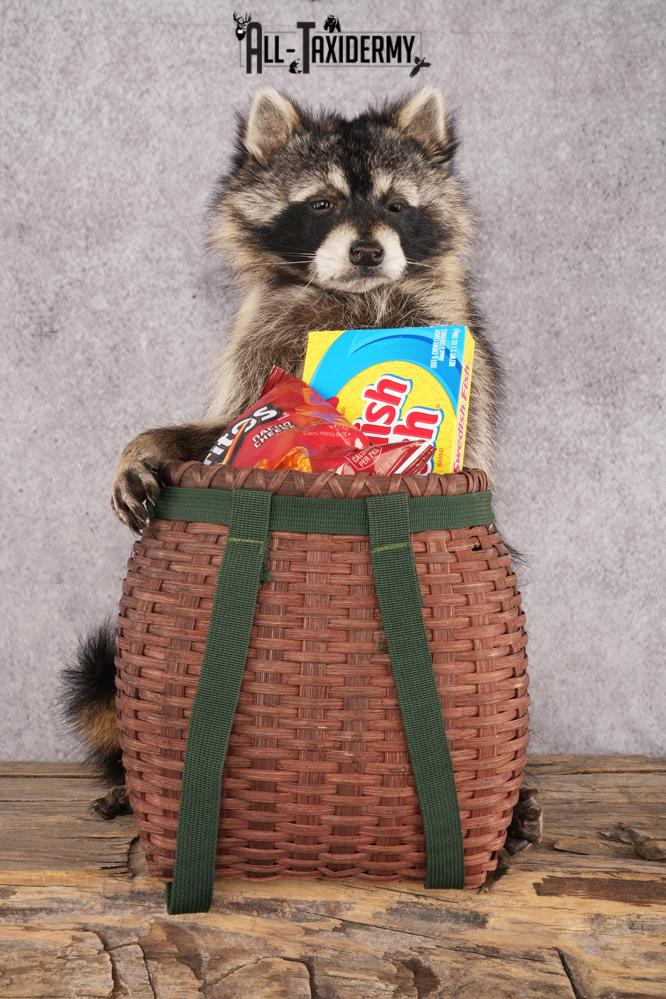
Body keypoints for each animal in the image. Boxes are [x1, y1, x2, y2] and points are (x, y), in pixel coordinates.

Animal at [63, 87, 540, 848]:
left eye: (397, 205)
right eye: (321, 204)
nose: (370, 249)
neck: (354, 296)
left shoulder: (458, 338)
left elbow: (462, 447)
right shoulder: (264, 341)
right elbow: (225, 422)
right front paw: (149, 443)